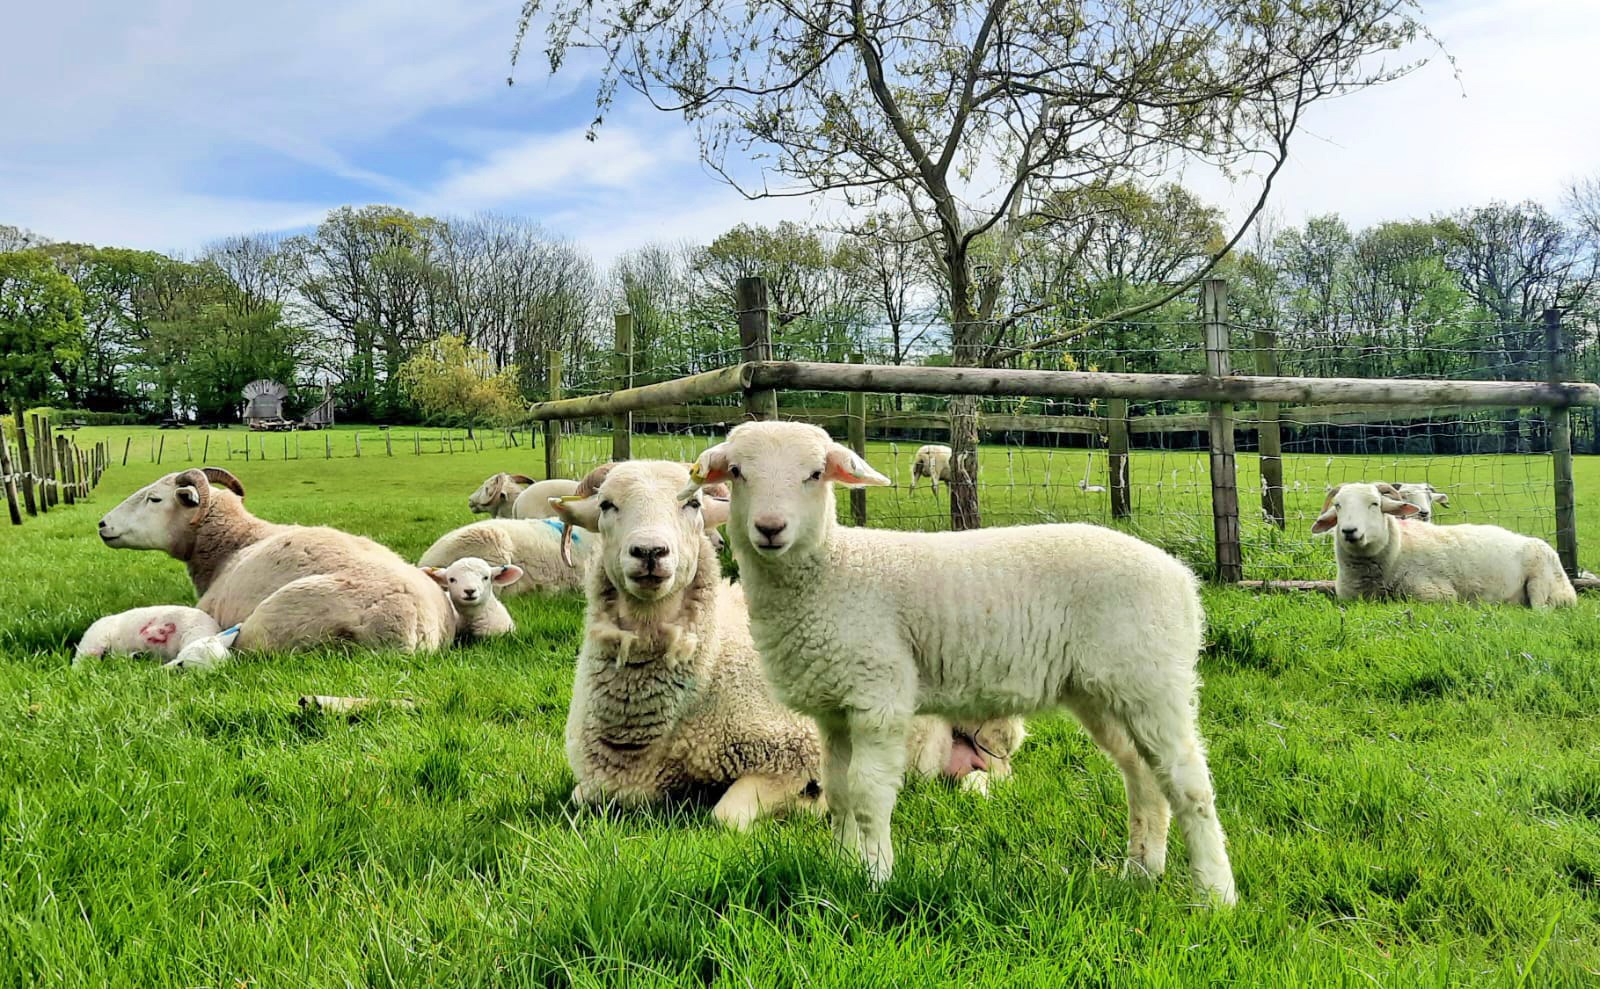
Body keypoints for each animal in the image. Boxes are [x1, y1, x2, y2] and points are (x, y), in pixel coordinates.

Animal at [682, 421, 1235, 904]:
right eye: (737, 471)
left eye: (815, 473)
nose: (770, 529)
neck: (832, 570)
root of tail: (1182, 579)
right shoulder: (834, 707)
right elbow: (838, 792)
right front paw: (841, 867)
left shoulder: (879, 694)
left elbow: (868, 792)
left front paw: (875, 878)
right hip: (1104, 691)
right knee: (1143, 777)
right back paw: (1141, 872)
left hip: (1153, 681)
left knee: (1190, 783)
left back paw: (1215, 895)